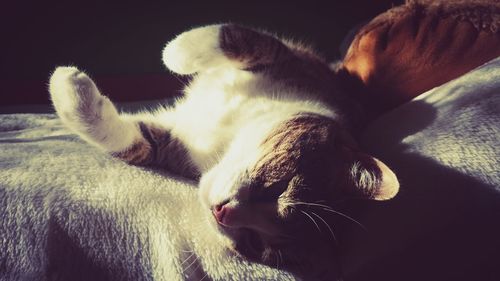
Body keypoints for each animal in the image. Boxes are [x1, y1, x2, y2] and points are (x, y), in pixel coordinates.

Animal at [47, 24, 398, 280]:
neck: (229, 135)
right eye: (278, 188)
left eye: (255, 243)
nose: (223, 212)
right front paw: (175, 54)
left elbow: (134, 145)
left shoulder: (169, 146)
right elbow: (234, 37)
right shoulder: (290, 60)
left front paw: (66, 89)